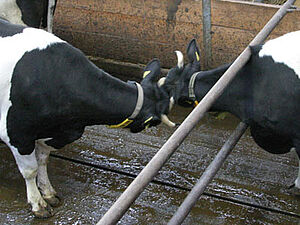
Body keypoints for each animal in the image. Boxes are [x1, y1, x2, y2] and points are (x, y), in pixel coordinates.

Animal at [0, 18, 180, 218]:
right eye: (154, 122)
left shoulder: (53, 134)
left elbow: (42, 160)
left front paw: (48, 192)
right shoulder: (17, 133)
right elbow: (30, 170)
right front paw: (38, 204)